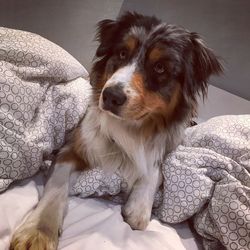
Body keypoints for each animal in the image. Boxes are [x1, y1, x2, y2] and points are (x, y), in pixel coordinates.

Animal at [9, 11, 223, 250]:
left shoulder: (168, 143)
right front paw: (38, 232)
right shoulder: (75, 145)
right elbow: (57, 185)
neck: (132, 128)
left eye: (160, 68)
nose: (110, 96)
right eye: (122, 53)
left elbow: (153, 168)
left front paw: (139, 207)